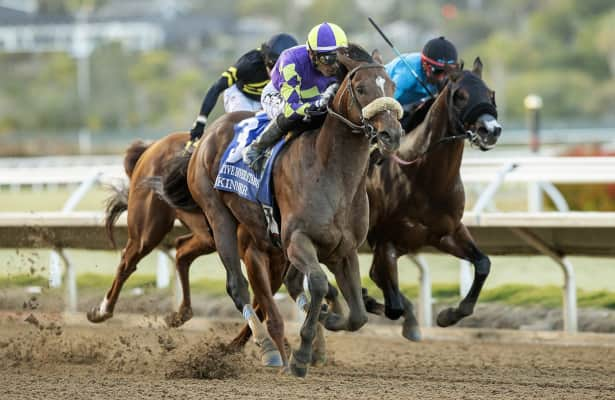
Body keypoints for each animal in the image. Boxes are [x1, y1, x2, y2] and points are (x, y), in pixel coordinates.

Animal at [154, 45, 404, 376]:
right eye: (361, 88)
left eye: (392, 86)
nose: (391, 135)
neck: (332, 174)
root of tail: (208, 136)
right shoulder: (296, 241)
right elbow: (318, 284)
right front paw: (300, 355)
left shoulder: (344, 251)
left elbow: (357, 316)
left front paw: (328, 319)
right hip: (219, 218)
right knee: (238, 286)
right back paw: (270, 349)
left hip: (262, 238)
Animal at [364, 58, 502, 340]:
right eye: (460, 95)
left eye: (491, 93)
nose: (491, 130)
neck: (423, 176)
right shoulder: (384, 240)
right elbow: (393, 306)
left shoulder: (446, 233)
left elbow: (483, 264)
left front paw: (449, 315)